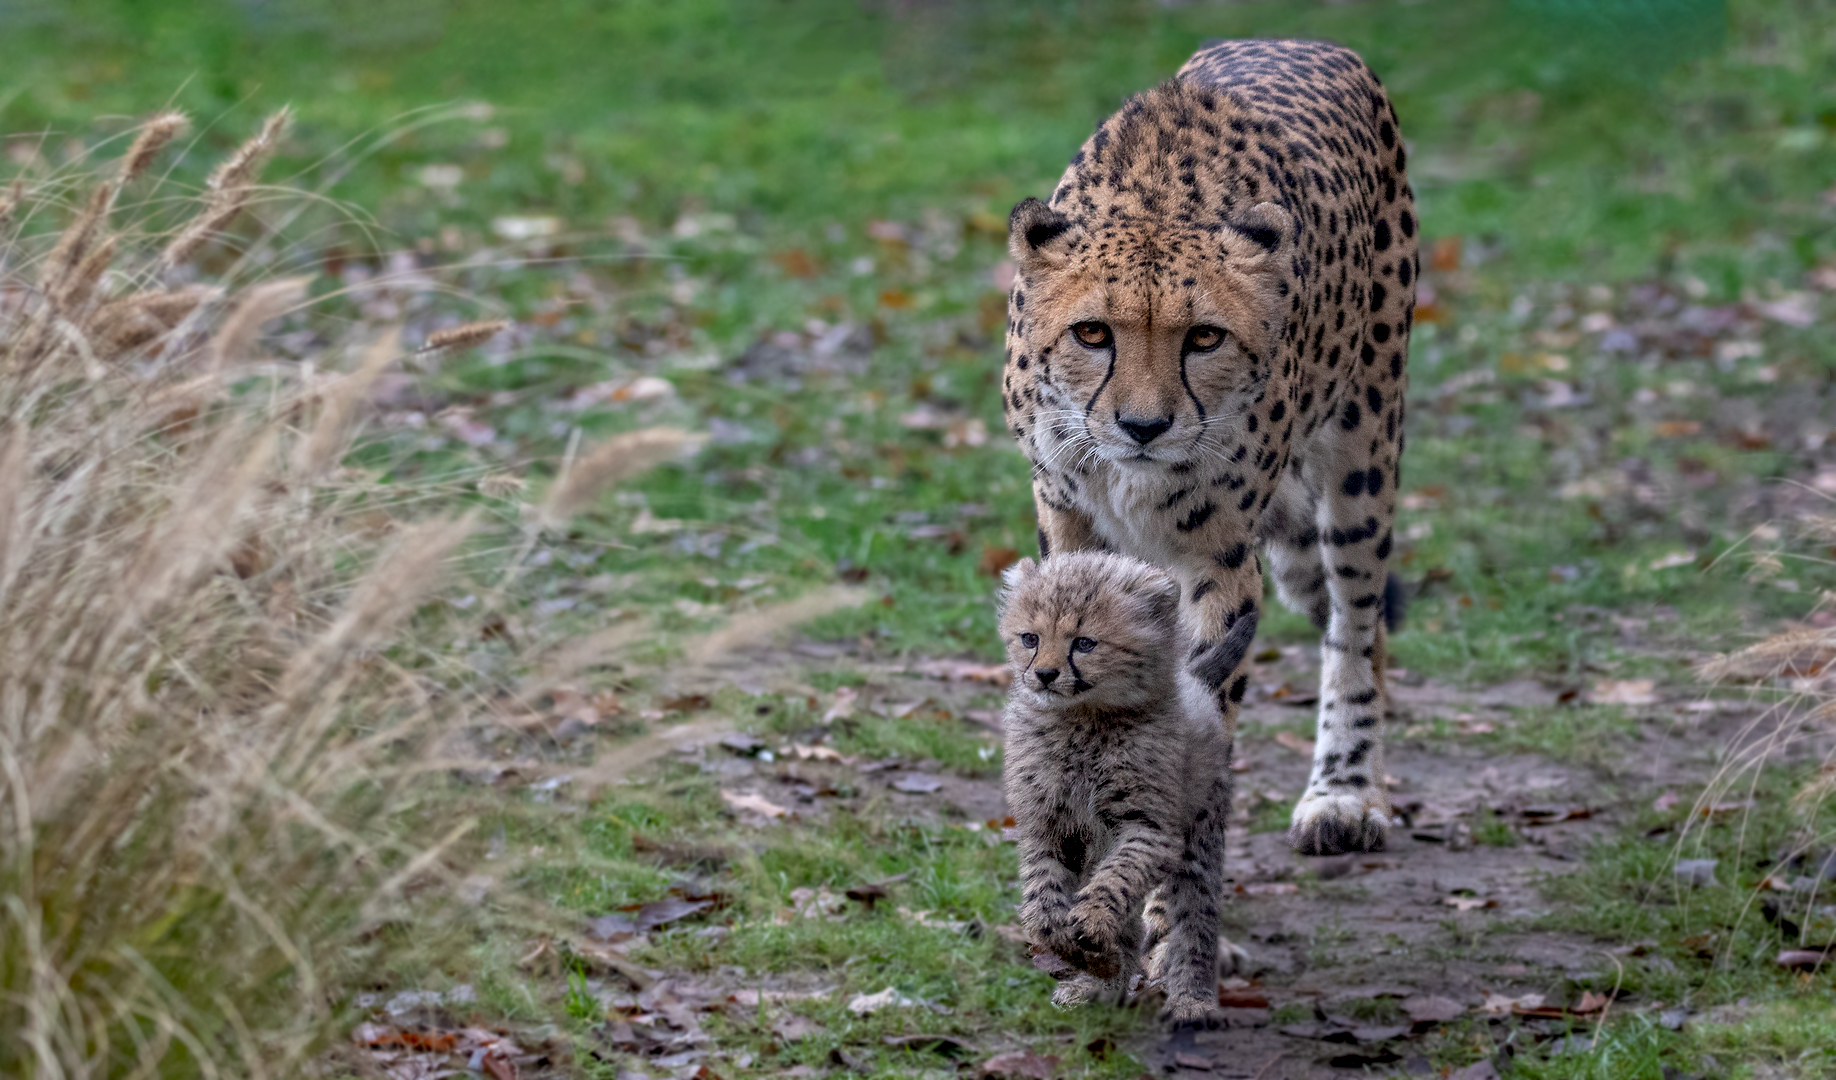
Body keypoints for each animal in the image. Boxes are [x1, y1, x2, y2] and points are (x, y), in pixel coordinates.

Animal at [1006, 35, 1417, 859]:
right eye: (1092, 333)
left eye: (1205, 338)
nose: (1143, 426)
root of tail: (1305, 40)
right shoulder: (1069, 522)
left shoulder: (1219, 562)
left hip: (1366, 446)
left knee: (1357, 624)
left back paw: (1345, 792)